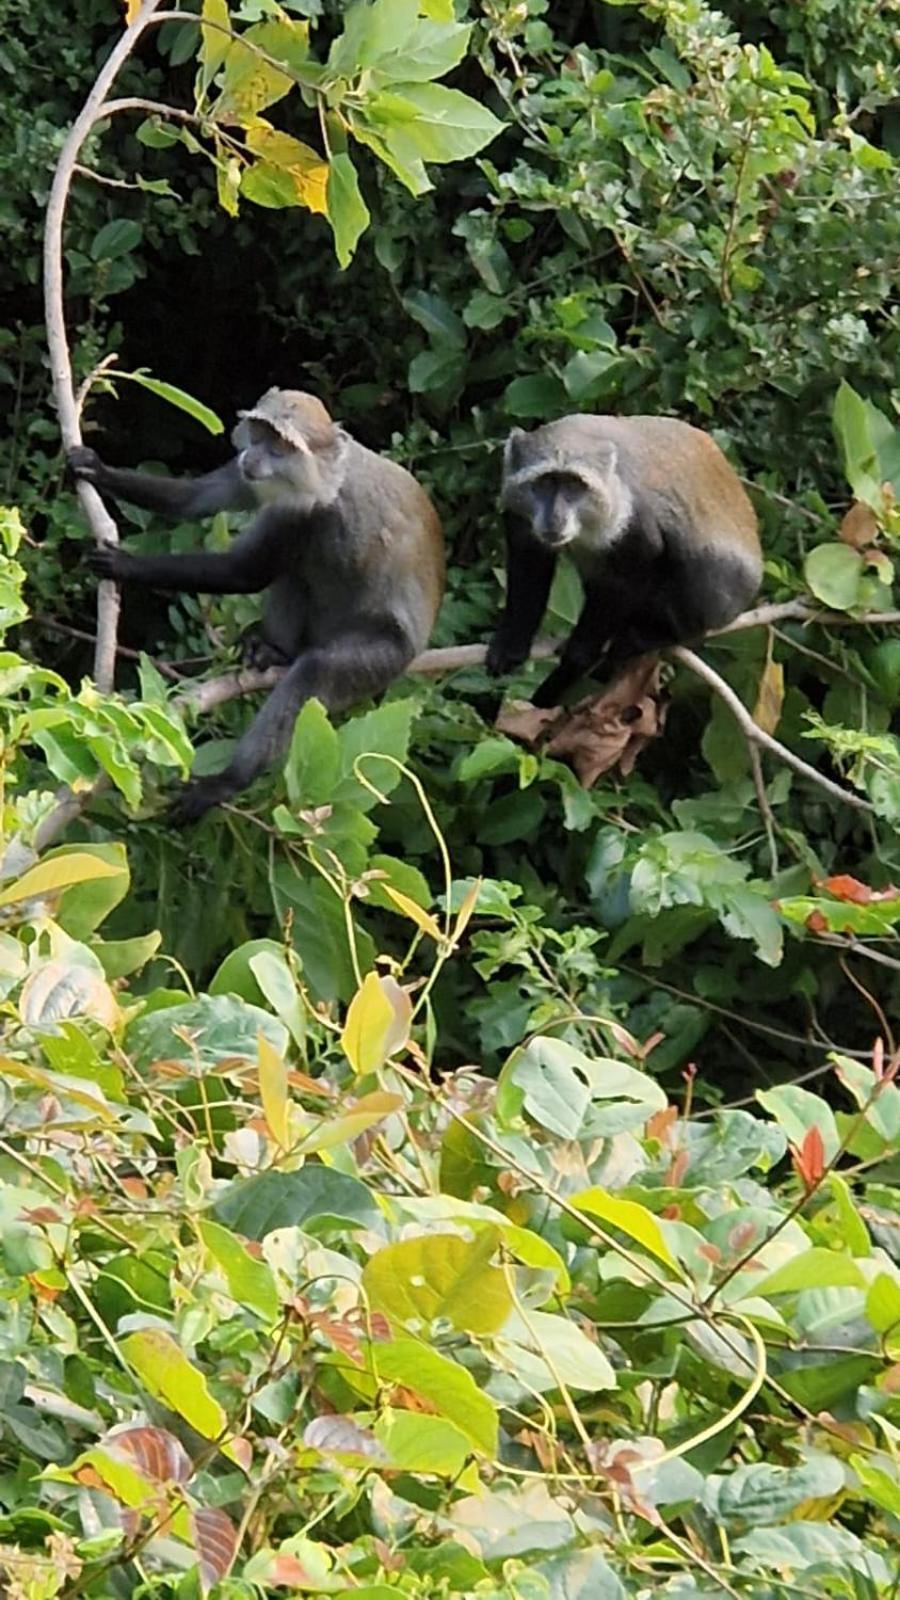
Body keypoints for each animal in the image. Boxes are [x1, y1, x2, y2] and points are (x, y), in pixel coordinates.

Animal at [68, 389, 445, 824]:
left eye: (281, 446)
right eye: (261, 433)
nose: (255, 457)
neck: (327, 472)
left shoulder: (304, 514)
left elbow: (244, 574)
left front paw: (124, 564)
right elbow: (200, 497)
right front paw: (96, 468)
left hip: (383, 654)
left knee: (315, 668)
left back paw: (230, 779)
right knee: (294, 578)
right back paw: (274, 651)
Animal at [486, 414, 761, 708]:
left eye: (574, 486)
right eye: (546, 483)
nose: (555, 519)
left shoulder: (632, 522)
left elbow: (631, 574)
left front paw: (579, 655)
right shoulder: (521, 516)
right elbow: (529, 564)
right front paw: (511, 644)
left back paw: (650, 637)